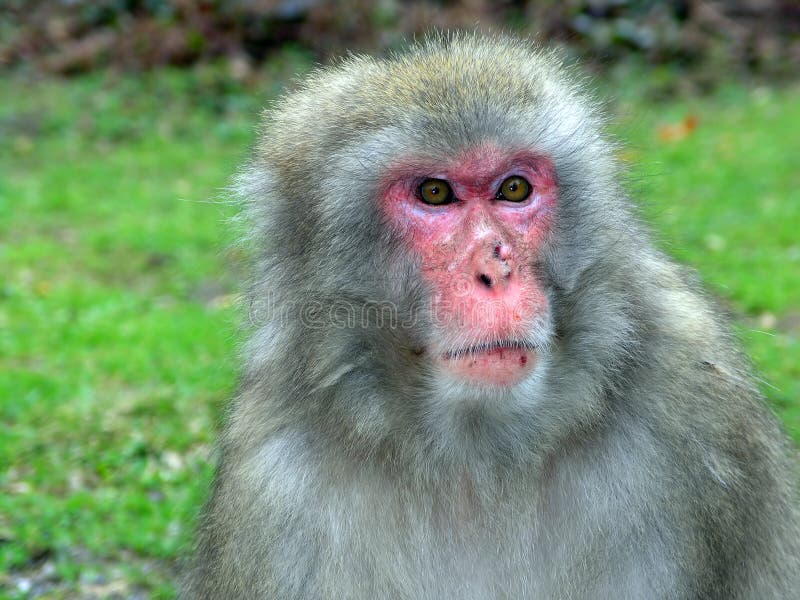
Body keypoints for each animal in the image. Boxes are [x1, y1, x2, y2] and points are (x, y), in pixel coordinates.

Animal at [182, 33, 800, 599]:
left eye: (514, 188)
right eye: (435, 193)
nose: (494, 270)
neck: (478, 460)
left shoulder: (704, 407)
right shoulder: (272, 488)